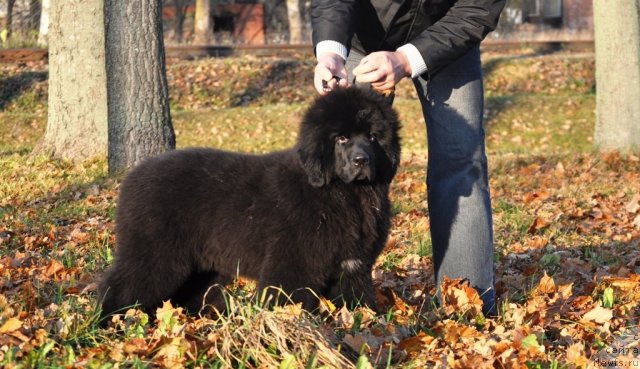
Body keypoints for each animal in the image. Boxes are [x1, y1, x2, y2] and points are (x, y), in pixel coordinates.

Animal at [97, 87, 400, 320]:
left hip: (201, 264)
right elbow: (286, 297)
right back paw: (109, 320)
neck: (345, 194)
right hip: (156, 253)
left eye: (373, 137)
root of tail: (132, 177)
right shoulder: (294, 262)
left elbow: (356, 300)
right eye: (341, 138)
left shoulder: (353, 266)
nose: (361, 160)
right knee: (121, 284)